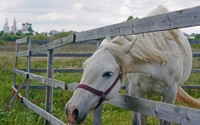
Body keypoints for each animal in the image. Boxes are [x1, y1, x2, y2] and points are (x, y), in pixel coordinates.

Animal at [65, 5, 200, 124]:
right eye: (84, 67)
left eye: (108, 73)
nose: (71, 110)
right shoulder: (135, 91)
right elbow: (137, 120)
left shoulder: (170, 94)